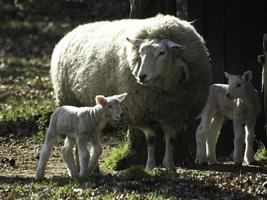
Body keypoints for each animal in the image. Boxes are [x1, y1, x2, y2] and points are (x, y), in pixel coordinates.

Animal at [50, 14, 213, 170]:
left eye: (162, 53)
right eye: (140, 53)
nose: (141, 76)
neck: (165, 90)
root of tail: (71, 31)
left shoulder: (174, 114)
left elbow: (170, 139)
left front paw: (169, 165)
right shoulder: (140, 113)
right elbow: (151, 139)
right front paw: (150, 165)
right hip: (70, 100)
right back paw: (80, 166)